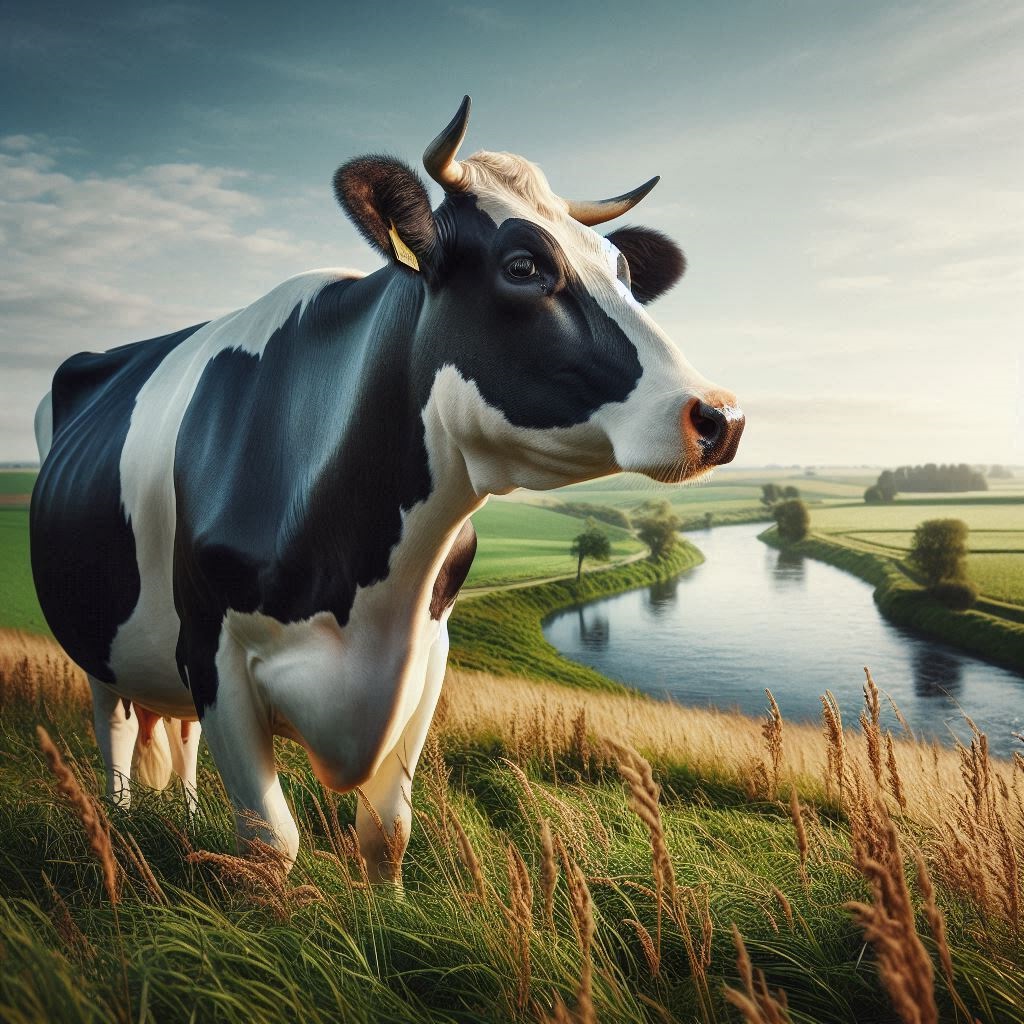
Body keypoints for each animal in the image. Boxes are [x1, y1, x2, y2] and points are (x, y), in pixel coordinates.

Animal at [30, 97, 744, 881]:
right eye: (522, 265)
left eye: (623, 271)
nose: (719, 415)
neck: (366, 585)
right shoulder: (214, 656)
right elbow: (272, 843)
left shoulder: (426, 657)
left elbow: (388, 833)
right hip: (101, 646)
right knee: (118, 736)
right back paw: (120, 826)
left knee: (178, 741)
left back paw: (185, 820)